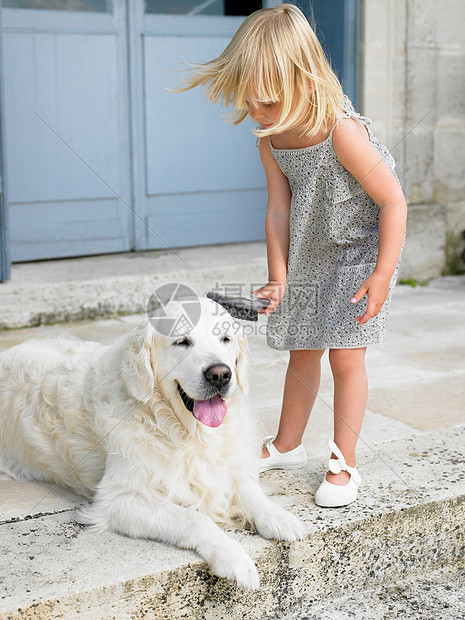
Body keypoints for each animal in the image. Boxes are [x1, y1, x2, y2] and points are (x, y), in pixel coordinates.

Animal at [0, 298, 304, 588]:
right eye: (182, 341)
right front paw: (234, 558)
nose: (220, 374)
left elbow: (249, 489)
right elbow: (195, 518)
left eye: (226, 339)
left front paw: (278, 517)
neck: (183, 429)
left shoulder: (227, 465)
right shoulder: (118, 500)